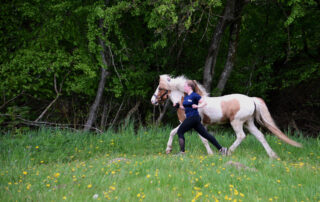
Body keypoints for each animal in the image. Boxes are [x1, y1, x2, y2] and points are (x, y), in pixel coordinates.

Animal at [151, 74, 302, 158]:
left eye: (160, 88)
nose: (153, 101)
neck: (184, 99)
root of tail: (251, 99)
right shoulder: (187, 123)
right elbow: (173, 132)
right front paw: (168, 150)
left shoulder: (193, 123)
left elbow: (204, 139)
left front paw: (211, 153)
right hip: (249, 123)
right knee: (260, 136)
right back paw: (272, 155)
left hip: (237, 122)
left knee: (241, 136)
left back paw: (228, 151)